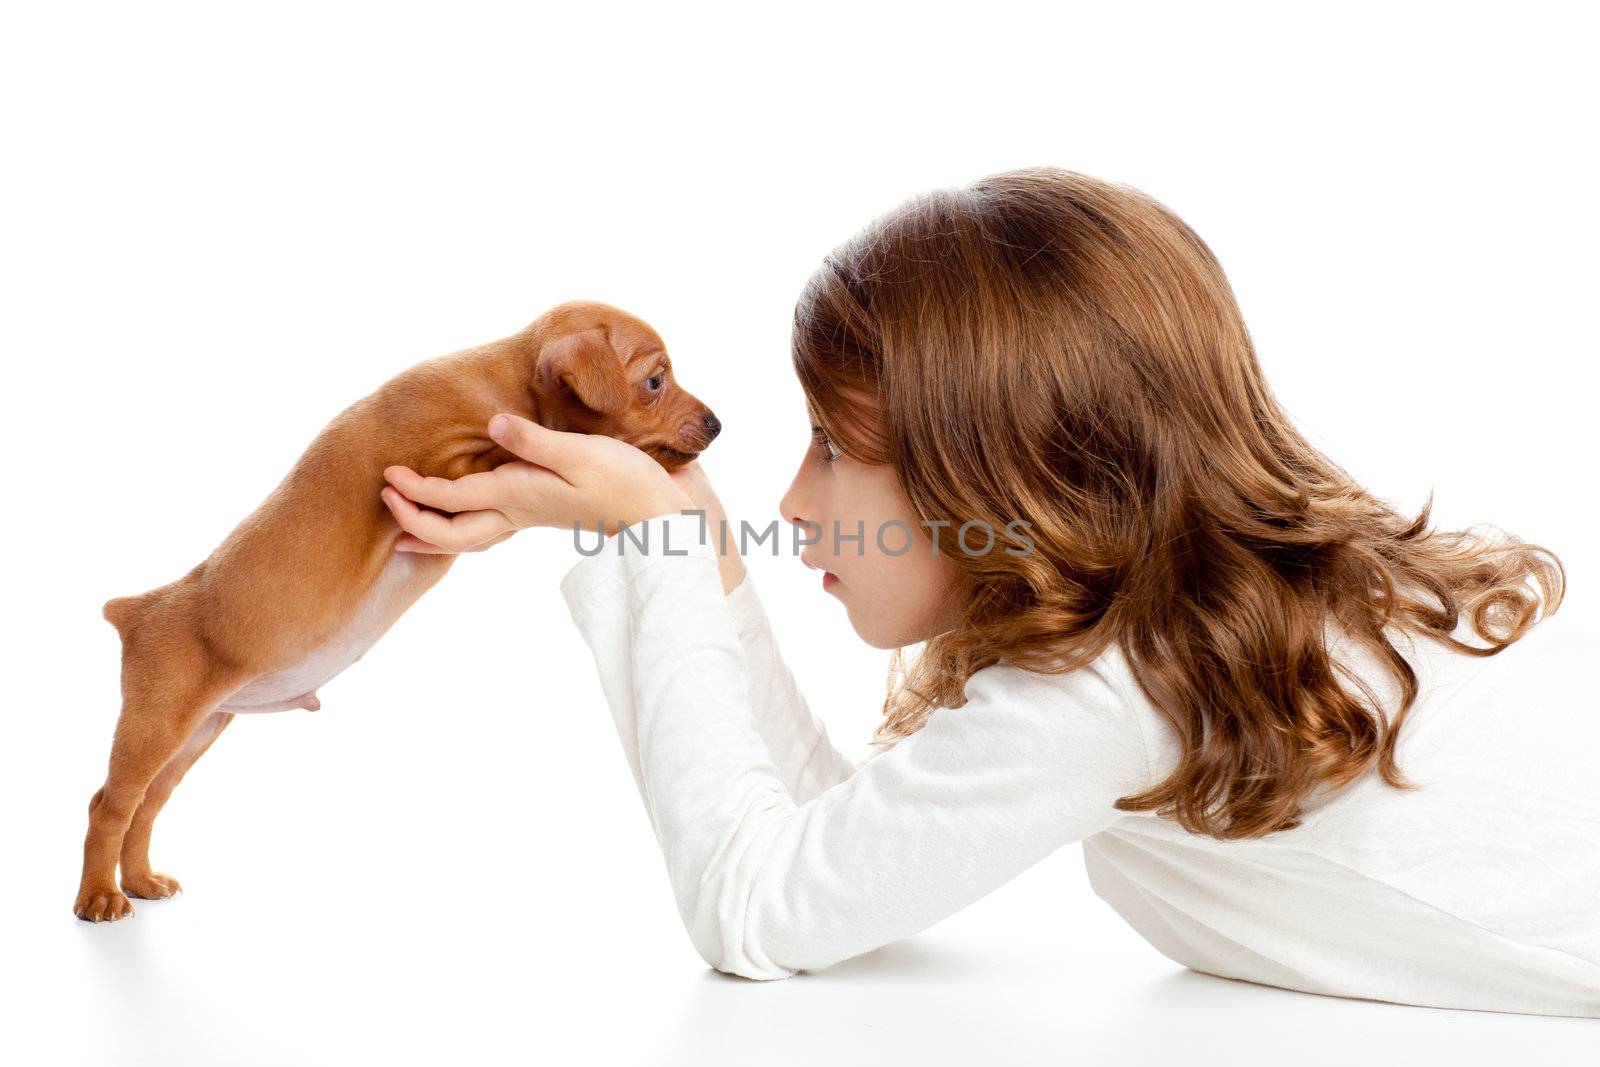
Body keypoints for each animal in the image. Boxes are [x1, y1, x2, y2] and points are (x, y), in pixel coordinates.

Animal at [79, 299, 720, 921]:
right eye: (655, 381)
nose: (719, 423)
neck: (505, 385)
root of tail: (133, 611)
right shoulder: (436, 466)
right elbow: (501, 453)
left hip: (197, 732)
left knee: (145, 806)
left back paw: (141, 882)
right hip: (156, 723)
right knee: (109, 805)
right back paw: (100, 898)